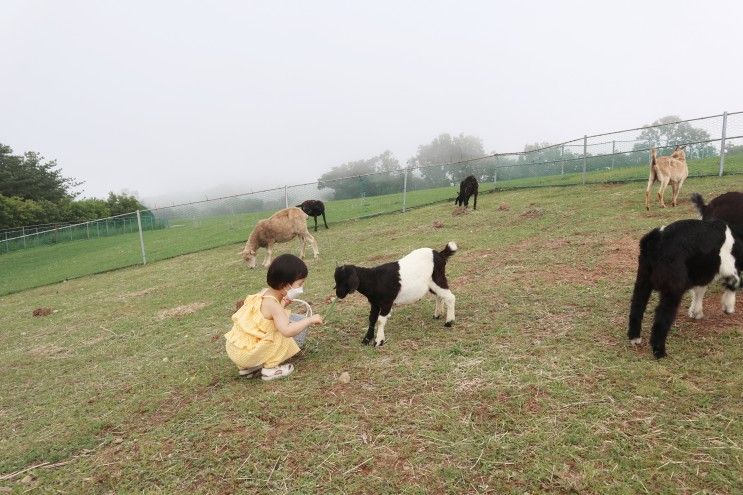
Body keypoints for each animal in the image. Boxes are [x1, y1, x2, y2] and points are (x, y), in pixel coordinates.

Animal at [332, 242, 460, 346]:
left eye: (344, 280)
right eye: (336, 280)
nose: (339, 294)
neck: (374, 279)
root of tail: (439, 254)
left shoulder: (387, 302)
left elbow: (380, 320)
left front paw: (379, 341)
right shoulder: (374, 303)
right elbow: (372, 318)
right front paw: (367, 339)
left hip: (438, 278)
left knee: (450, 297)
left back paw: (449, 322)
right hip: (431, 284)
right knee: (440, 295)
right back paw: (437, 314)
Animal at [628, 219, 743, 358]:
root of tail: (657, 239)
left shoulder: (703, 271)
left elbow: (699, 290)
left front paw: (696, 312)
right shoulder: (728, 266)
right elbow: (734, 283)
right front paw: (728, 307)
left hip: (643, 277)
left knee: (637, 305)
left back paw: (634, 338)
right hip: (673, 287)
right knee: (662, 314)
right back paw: (659, 351)